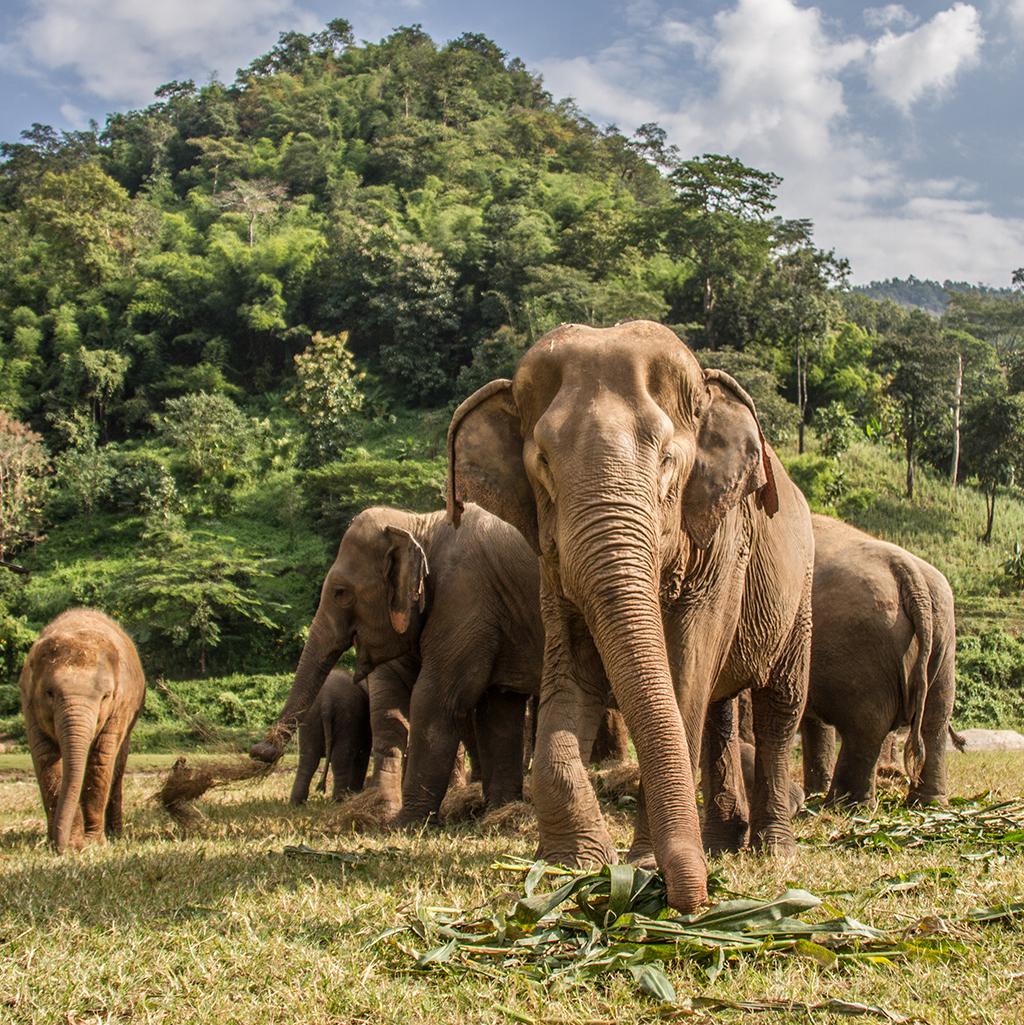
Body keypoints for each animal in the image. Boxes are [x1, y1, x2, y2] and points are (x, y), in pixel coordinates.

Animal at [18, 606, 146, 848]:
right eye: (50, 693)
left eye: (106, 696)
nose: (61, 846)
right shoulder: (29, 706)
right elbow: (46, 759)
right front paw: (71, 844)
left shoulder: (120, 707)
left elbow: (101, 760)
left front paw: (93, 843)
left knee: (117, 763)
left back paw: (115, 834)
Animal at [289, 668, 373, 803]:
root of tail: (326, 701)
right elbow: (362, 754)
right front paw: (355, 793)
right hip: (347, 717)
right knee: (340, 757)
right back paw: (339, 800)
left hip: (310, 717)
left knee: (308, 758)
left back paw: (296, 802)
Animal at [453, 319, 811, 914]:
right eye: (543, 462)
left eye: (666, 458)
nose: (692, 900)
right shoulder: (552, 562)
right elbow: (571, 671)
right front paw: (571, 866)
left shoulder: (722, 543)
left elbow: (685, 673)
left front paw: (641, 865)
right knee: (719, 708)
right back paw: (721, 844)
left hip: (800, 591)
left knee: (779, 706)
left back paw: (773, 851)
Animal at [799, 516, 959, 803]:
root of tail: (910, 576)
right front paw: (812, 792)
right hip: (943, 638)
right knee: (936, 718)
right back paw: (928, 803)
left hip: (860, 645)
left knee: (866, 725)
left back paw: (844, 804)